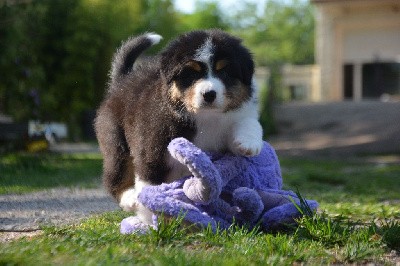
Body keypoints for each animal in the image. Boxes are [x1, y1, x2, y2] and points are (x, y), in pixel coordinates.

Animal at [95, 29, 264, 222]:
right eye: (191, 73)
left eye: (225, 72)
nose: (209, 94)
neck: (206, 118)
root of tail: (121, 82)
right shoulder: (152, 150)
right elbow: (148, 186)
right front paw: (151, 222)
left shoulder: (234, 121)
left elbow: (248, 122)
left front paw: (248, 143)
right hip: (115, 141)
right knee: (115, 176)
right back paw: (129, 198)